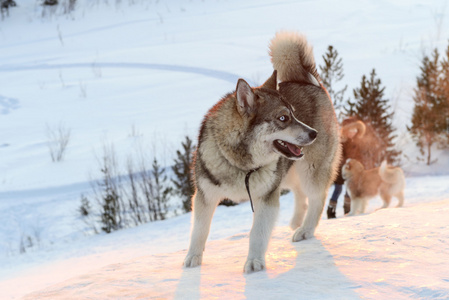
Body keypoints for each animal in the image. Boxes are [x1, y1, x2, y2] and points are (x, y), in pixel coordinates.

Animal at [184, 71, 316, 274]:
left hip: (309, 173)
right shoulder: (205, 195)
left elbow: (258, 232)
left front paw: (254, 261)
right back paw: (296, 222)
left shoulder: (267, 196)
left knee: (318, 199)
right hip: (288, 175)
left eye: (294, 114)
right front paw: (193, 257)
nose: (313, 133)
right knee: (299, 192)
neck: (239, 163)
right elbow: (200, 229)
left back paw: (305, 230)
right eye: (283, 118)